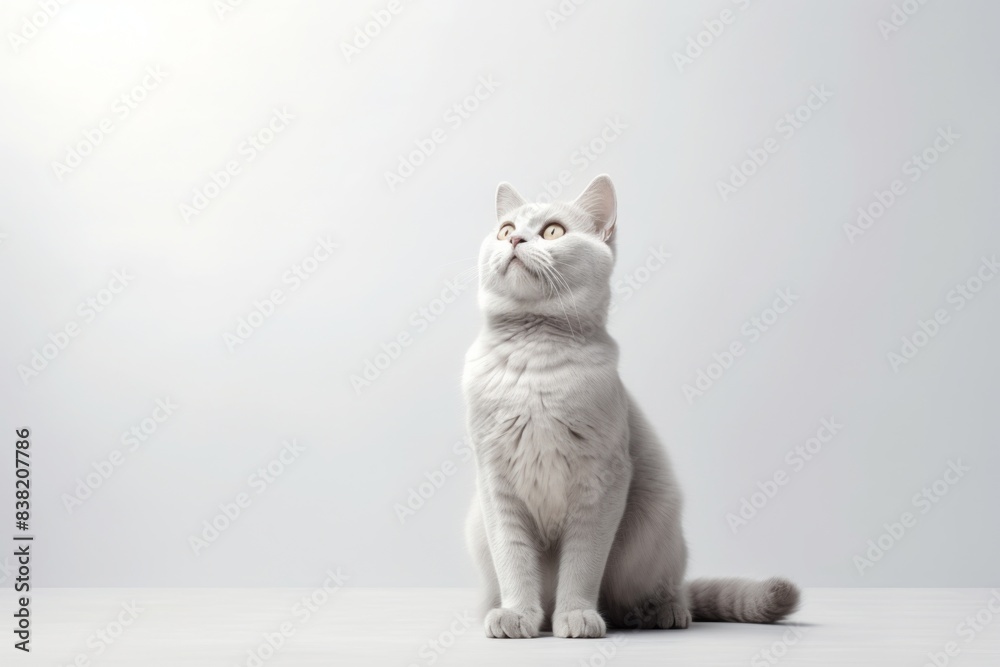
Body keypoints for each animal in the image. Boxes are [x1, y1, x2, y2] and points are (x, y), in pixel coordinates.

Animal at [464, 175, 800, 640]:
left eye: (553, 231)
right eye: (504, 229)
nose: (514, 238)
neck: (535, 369)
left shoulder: (602, 481)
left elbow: (582, 563)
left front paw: (576, 616)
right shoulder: (496, 484)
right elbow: (513, 559)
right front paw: (517, 615)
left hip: (653, 532)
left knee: (664, 591)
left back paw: (659, 613)